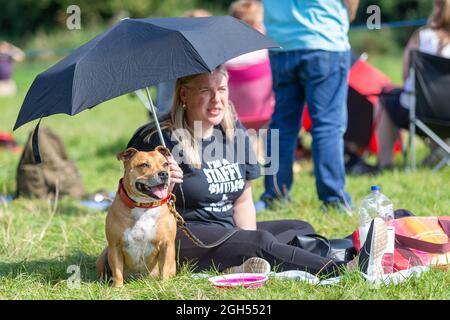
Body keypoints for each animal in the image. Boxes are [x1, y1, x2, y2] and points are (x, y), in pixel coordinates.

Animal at [96, 146, 177, 286]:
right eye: (144, 165)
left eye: (166, 164)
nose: (164, 174)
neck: (144, 206)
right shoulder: (115, 246)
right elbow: (117, 271)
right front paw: (118, 287)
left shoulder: (167, 244)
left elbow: (164, 268)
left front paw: (164, 285)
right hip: (103, 256)